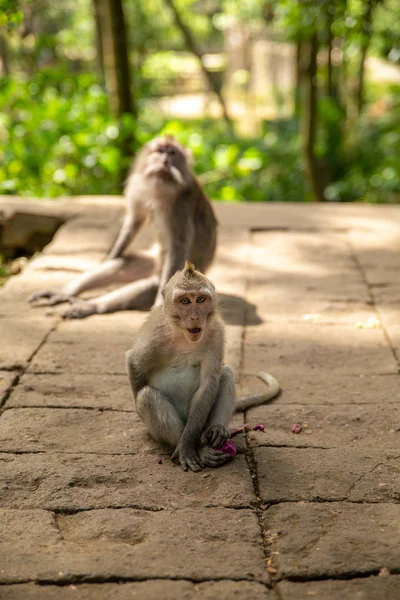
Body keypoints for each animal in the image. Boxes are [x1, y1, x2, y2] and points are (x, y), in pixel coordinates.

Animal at [28, 135, 216, 318]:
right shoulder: (137, 187)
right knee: (122, 263)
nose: (164, 161)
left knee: (146, 286)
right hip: (152, 261)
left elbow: (178, 246)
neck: (160, 188)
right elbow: (133, 223)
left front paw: (159, 305)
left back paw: (89, 306)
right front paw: (111, 255)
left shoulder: (180, 205)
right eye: (159, 150)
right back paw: (65, 292)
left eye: (172, 153)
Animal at [125, 262, 278, 474]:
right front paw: (187, 449)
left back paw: (215, 432)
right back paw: (191, 447)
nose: (195, 317)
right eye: (185, 301)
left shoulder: (216, 332)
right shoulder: (156, 334)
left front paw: (191, 444)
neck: (184, 336)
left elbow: (208, 384)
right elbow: (134, 363)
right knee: (147, 396)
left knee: (225, 375)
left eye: (200, 299)